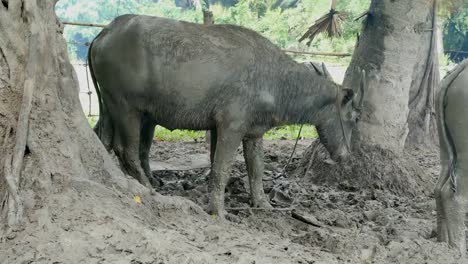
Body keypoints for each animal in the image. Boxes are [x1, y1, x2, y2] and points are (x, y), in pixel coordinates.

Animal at [87, 14, 366, 217]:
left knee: (104, 141)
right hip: (127, 108)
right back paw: (148, 188)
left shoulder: (251, 132)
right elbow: (222, 169)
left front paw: (263, 204)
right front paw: (218, 210)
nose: (346, 156)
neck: (274, 80)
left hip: (110, 108)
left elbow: (255, 168)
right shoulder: (230, 127)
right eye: (354, 117)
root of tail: (105, 32)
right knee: (128, 151)